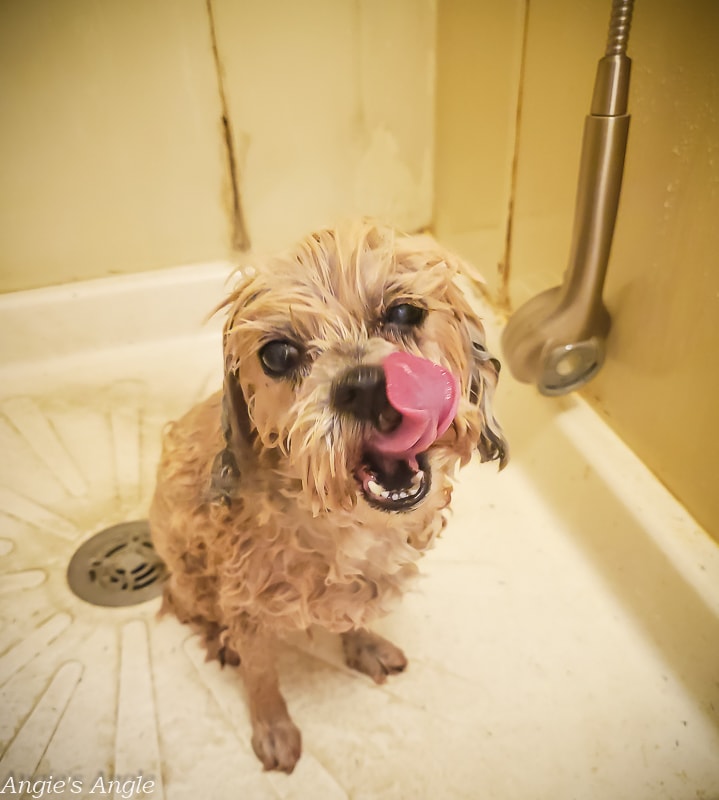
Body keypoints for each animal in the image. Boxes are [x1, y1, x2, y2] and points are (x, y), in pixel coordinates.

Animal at [150, 219, 510, 768]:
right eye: (277, 354)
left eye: (404, 312)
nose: (365, 387)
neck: (343, 523)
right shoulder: (243, 600)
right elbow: (261, 673)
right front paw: (272, 725)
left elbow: (355, 610)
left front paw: (362, 645)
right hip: (188, 572)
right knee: (187, 602)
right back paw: (221, 640)